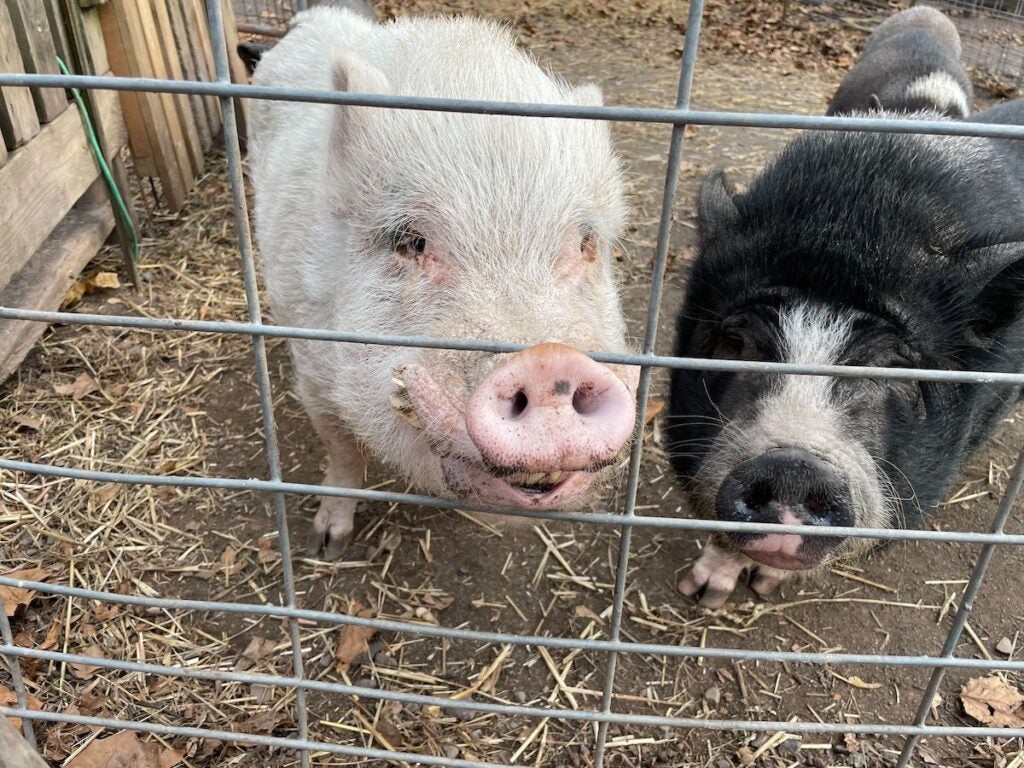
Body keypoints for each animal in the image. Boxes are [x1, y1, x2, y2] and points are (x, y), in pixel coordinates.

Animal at [248, 7, 638, 561]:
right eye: (410, 241)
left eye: (586, 243)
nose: (548, 362)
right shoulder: (311, 365)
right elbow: (340, 447)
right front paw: (328, 543)